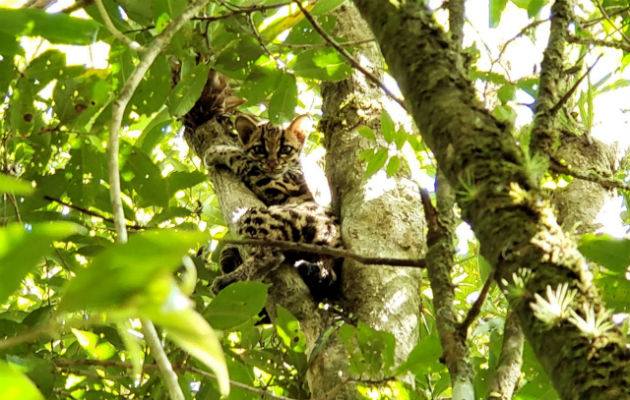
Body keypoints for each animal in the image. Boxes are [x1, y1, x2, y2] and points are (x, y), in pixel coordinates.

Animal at [205, 114, 344, 296]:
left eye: (285, 149)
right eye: (259, 149)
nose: (272, 163)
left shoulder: (278, 184)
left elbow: (243, 160)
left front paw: (217, 152)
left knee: (269, 255)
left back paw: (229, 280)